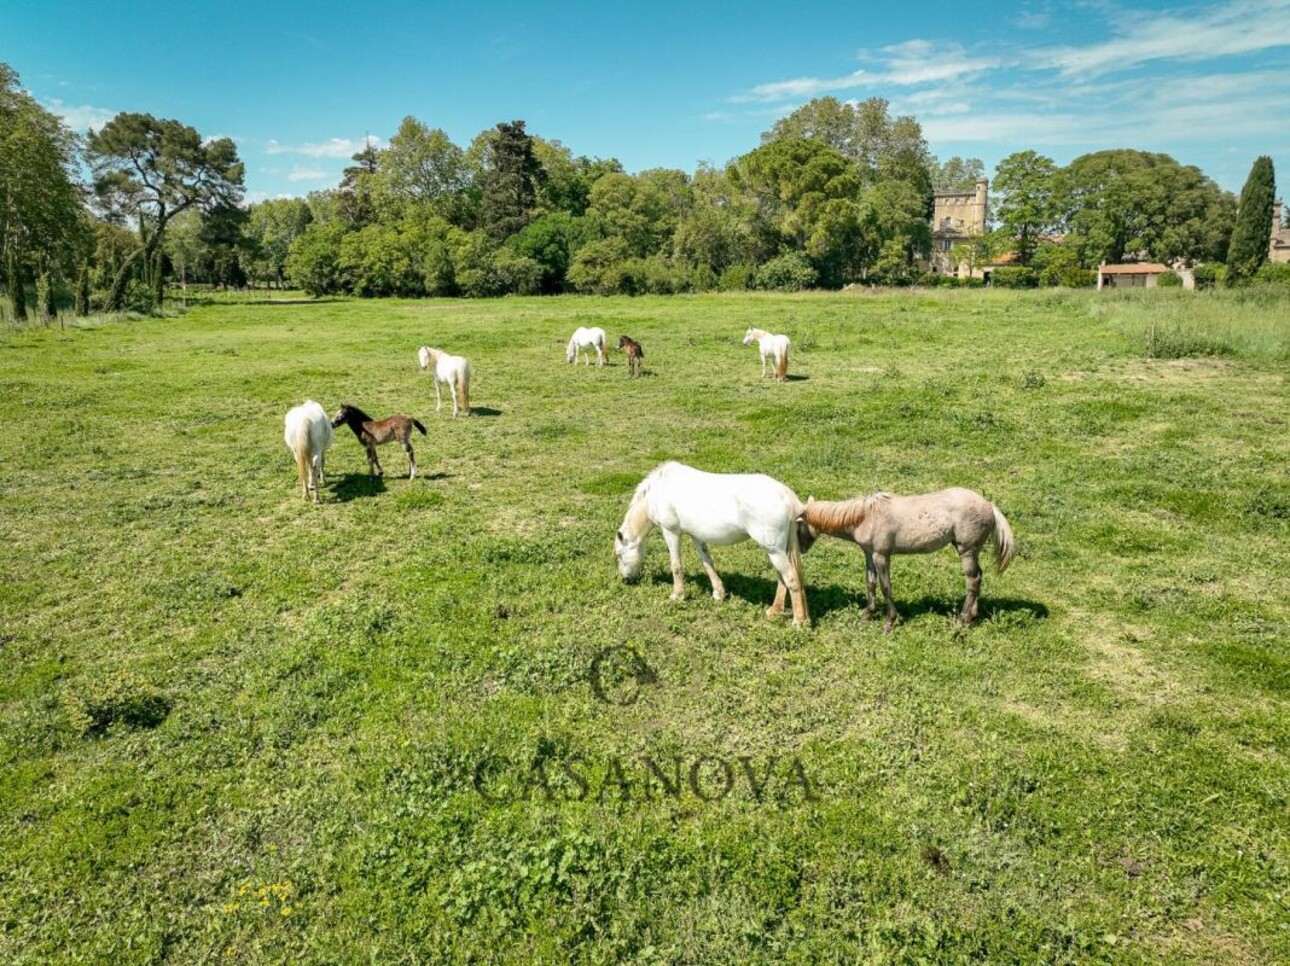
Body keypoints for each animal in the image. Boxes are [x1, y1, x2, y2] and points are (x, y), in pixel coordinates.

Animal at [611, 461, 804, 626]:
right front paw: (719, 593)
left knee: (791, 578)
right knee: (782, 579)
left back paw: (798, 621)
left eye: (620, 555)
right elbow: (707, 562)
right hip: (779, 551)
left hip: (774, 551)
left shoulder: (671, 532)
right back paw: (774, 611)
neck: (658, 490)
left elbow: (676, 565)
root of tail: (786, 495)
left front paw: (678, 595)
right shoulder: (697, 536)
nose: (626, 579)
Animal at [794, 484, 1016, 629]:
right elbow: (870, 583)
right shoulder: (869, 554)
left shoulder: (881, 556)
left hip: (966, 551)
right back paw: (972, 616)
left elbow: (886, 586)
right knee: (978, 577)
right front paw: (867, 614)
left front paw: (889, 621)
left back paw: (961, 620)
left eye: (797, 525)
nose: (801, 550)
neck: (866, 516)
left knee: (972, 580)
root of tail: (989, 506)